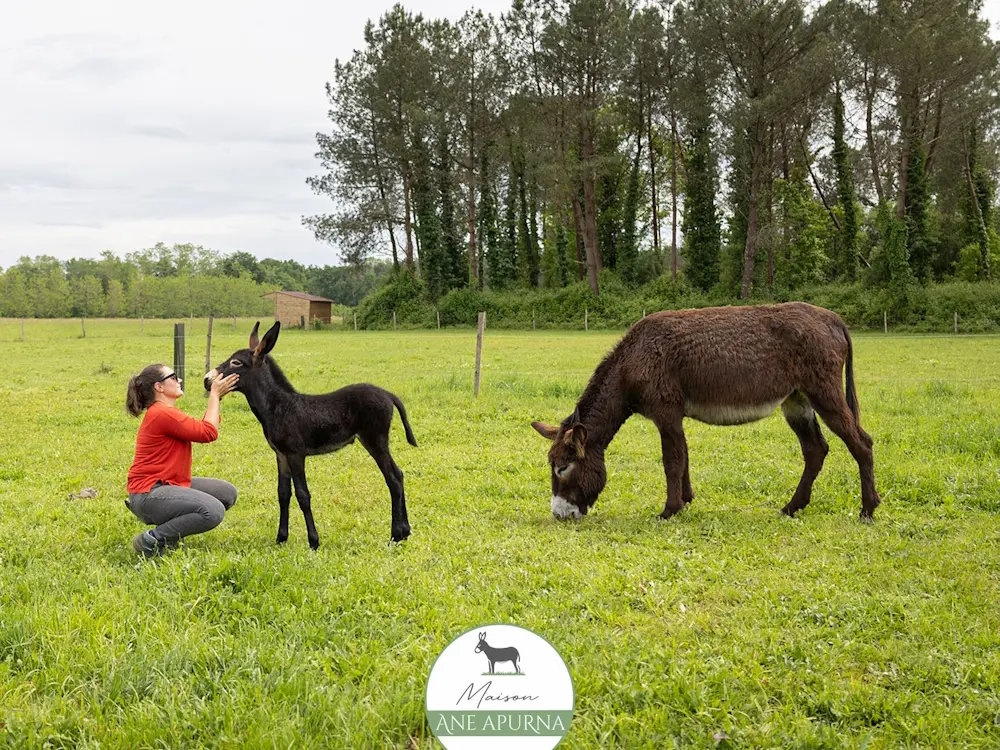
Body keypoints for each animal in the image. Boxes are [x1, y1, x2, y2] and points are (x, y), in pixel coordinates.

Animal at [205, 322, 416, 548]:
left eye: (236, 362)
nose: (207, 380)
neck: (279, 407)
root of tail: (388, 394)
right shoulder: (281, 454)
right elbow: (283, 493)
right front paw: (281, 538)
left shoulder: (296, 454)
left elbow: (303, 495)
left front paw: (313, 541)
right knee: (398, 475)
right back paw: (405, 532)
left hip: (374, 439)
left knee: (393, 477)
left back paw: (396, 535)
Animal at [536, 304, 880, 524]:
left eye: (563, 468)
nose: (559, 515)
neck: (632, 363)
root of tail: (833, 318)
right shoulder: (676, 414)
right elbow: (685, 456)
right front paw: (686, 501)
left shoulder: (666, 411)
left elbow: (672, 461)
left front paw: (669, 511)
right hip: (797, 400)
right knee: (815, 449)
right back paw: (792, 508)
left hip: (823, 391)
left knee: (861, 443)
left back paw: (868, 510)